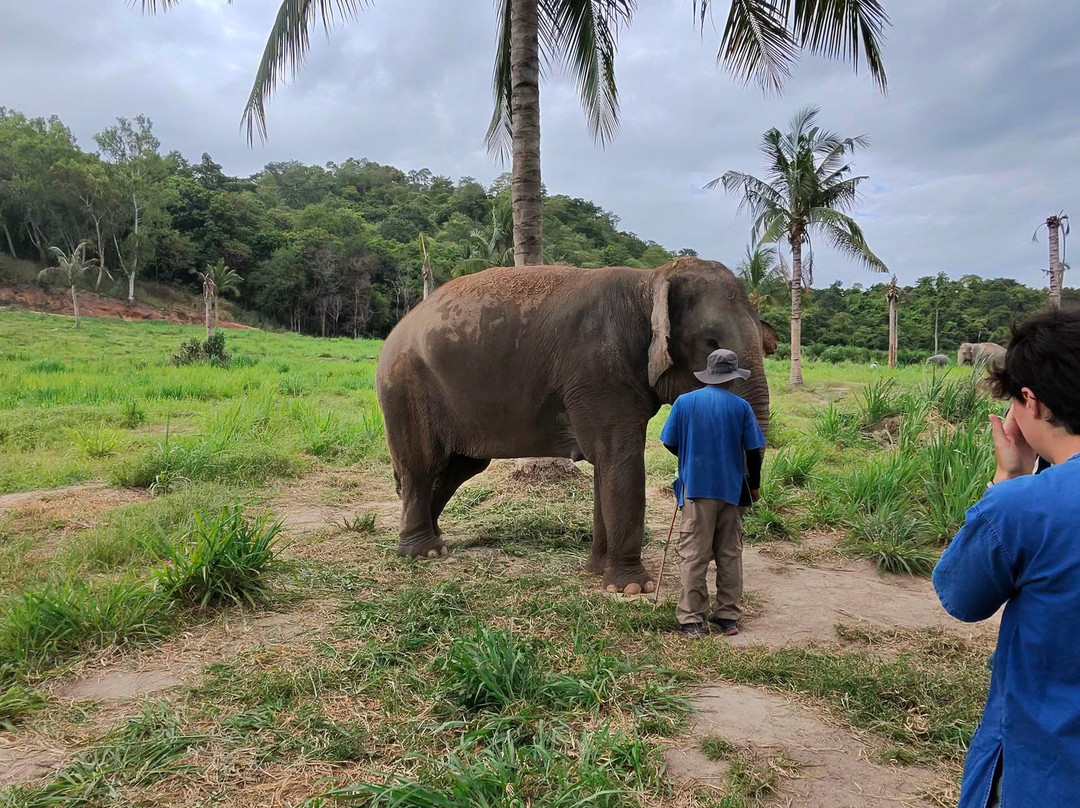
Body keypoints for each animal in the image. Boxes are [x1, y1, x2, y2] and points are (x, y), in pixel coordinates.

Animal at [375, 257, 771, 593]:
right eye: (711, 342)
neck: (650, 279)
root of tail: (399, 326)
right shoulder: (598, 372)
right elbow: (622, 461)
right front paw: (631, 588)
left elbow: (607, 466)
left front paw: (597, 571)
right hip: (405, 388)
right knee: (422, 466)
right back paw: (422, 552)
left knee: (461, 466)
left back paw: (436, 541)